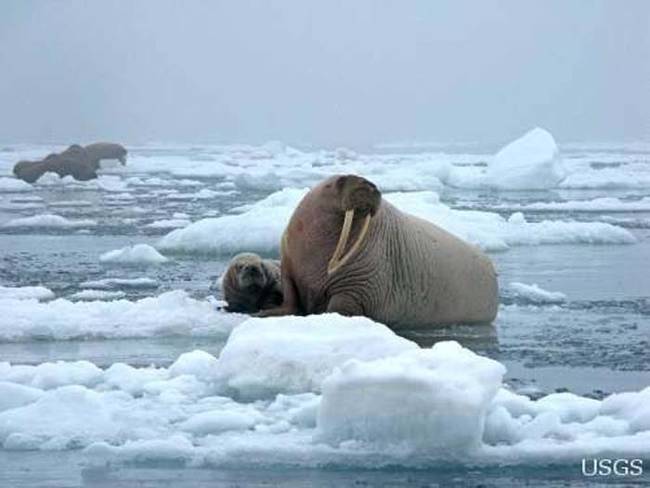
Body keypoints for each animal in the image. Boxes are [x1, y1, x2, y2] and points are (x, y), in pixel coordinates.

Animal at [258, 175, 496, 328]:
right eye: (340, 181)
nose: (369, 185)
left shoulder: (357, 284)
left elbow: (340, 306)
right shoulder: (289, 264)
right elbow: (290, 296)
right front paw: (264, 312)